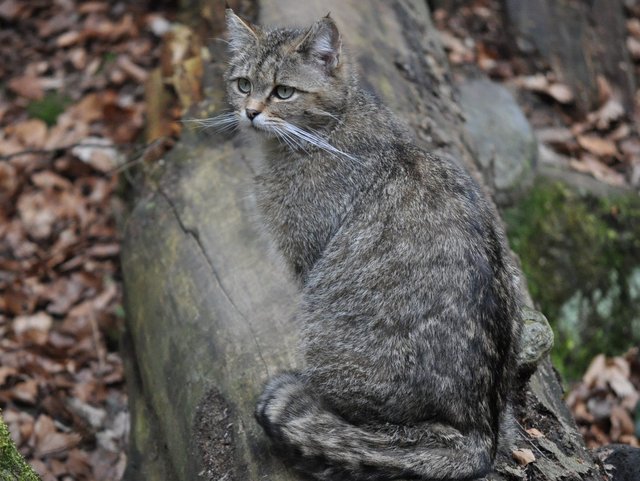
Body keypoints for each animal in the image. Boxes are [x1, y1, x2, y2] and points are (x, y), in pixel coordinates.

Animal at [218, 8, 524, 480]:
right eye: (244, 84)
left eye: (283, 91)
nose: (249, 113)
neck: (334, 125)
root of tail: (480, 435)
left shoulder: (308, 260)